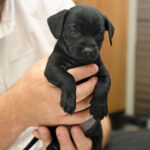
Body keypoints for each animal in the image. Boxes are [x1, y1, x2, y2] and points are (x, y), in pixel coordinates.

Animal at [23, 4, 113, 150]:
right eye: (74, 31)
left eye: (99, 33)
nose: (88, 51)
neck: (79, 62)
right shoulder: (53, 68)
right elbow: (68, 77)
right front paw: (69, 101)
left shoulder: (103, 73)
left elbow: (103, 86)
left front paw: (99, 107)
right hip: (51, 128)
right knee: (53, 137)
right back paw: (53, 146)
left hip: (97, 132)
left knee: (97, 141)